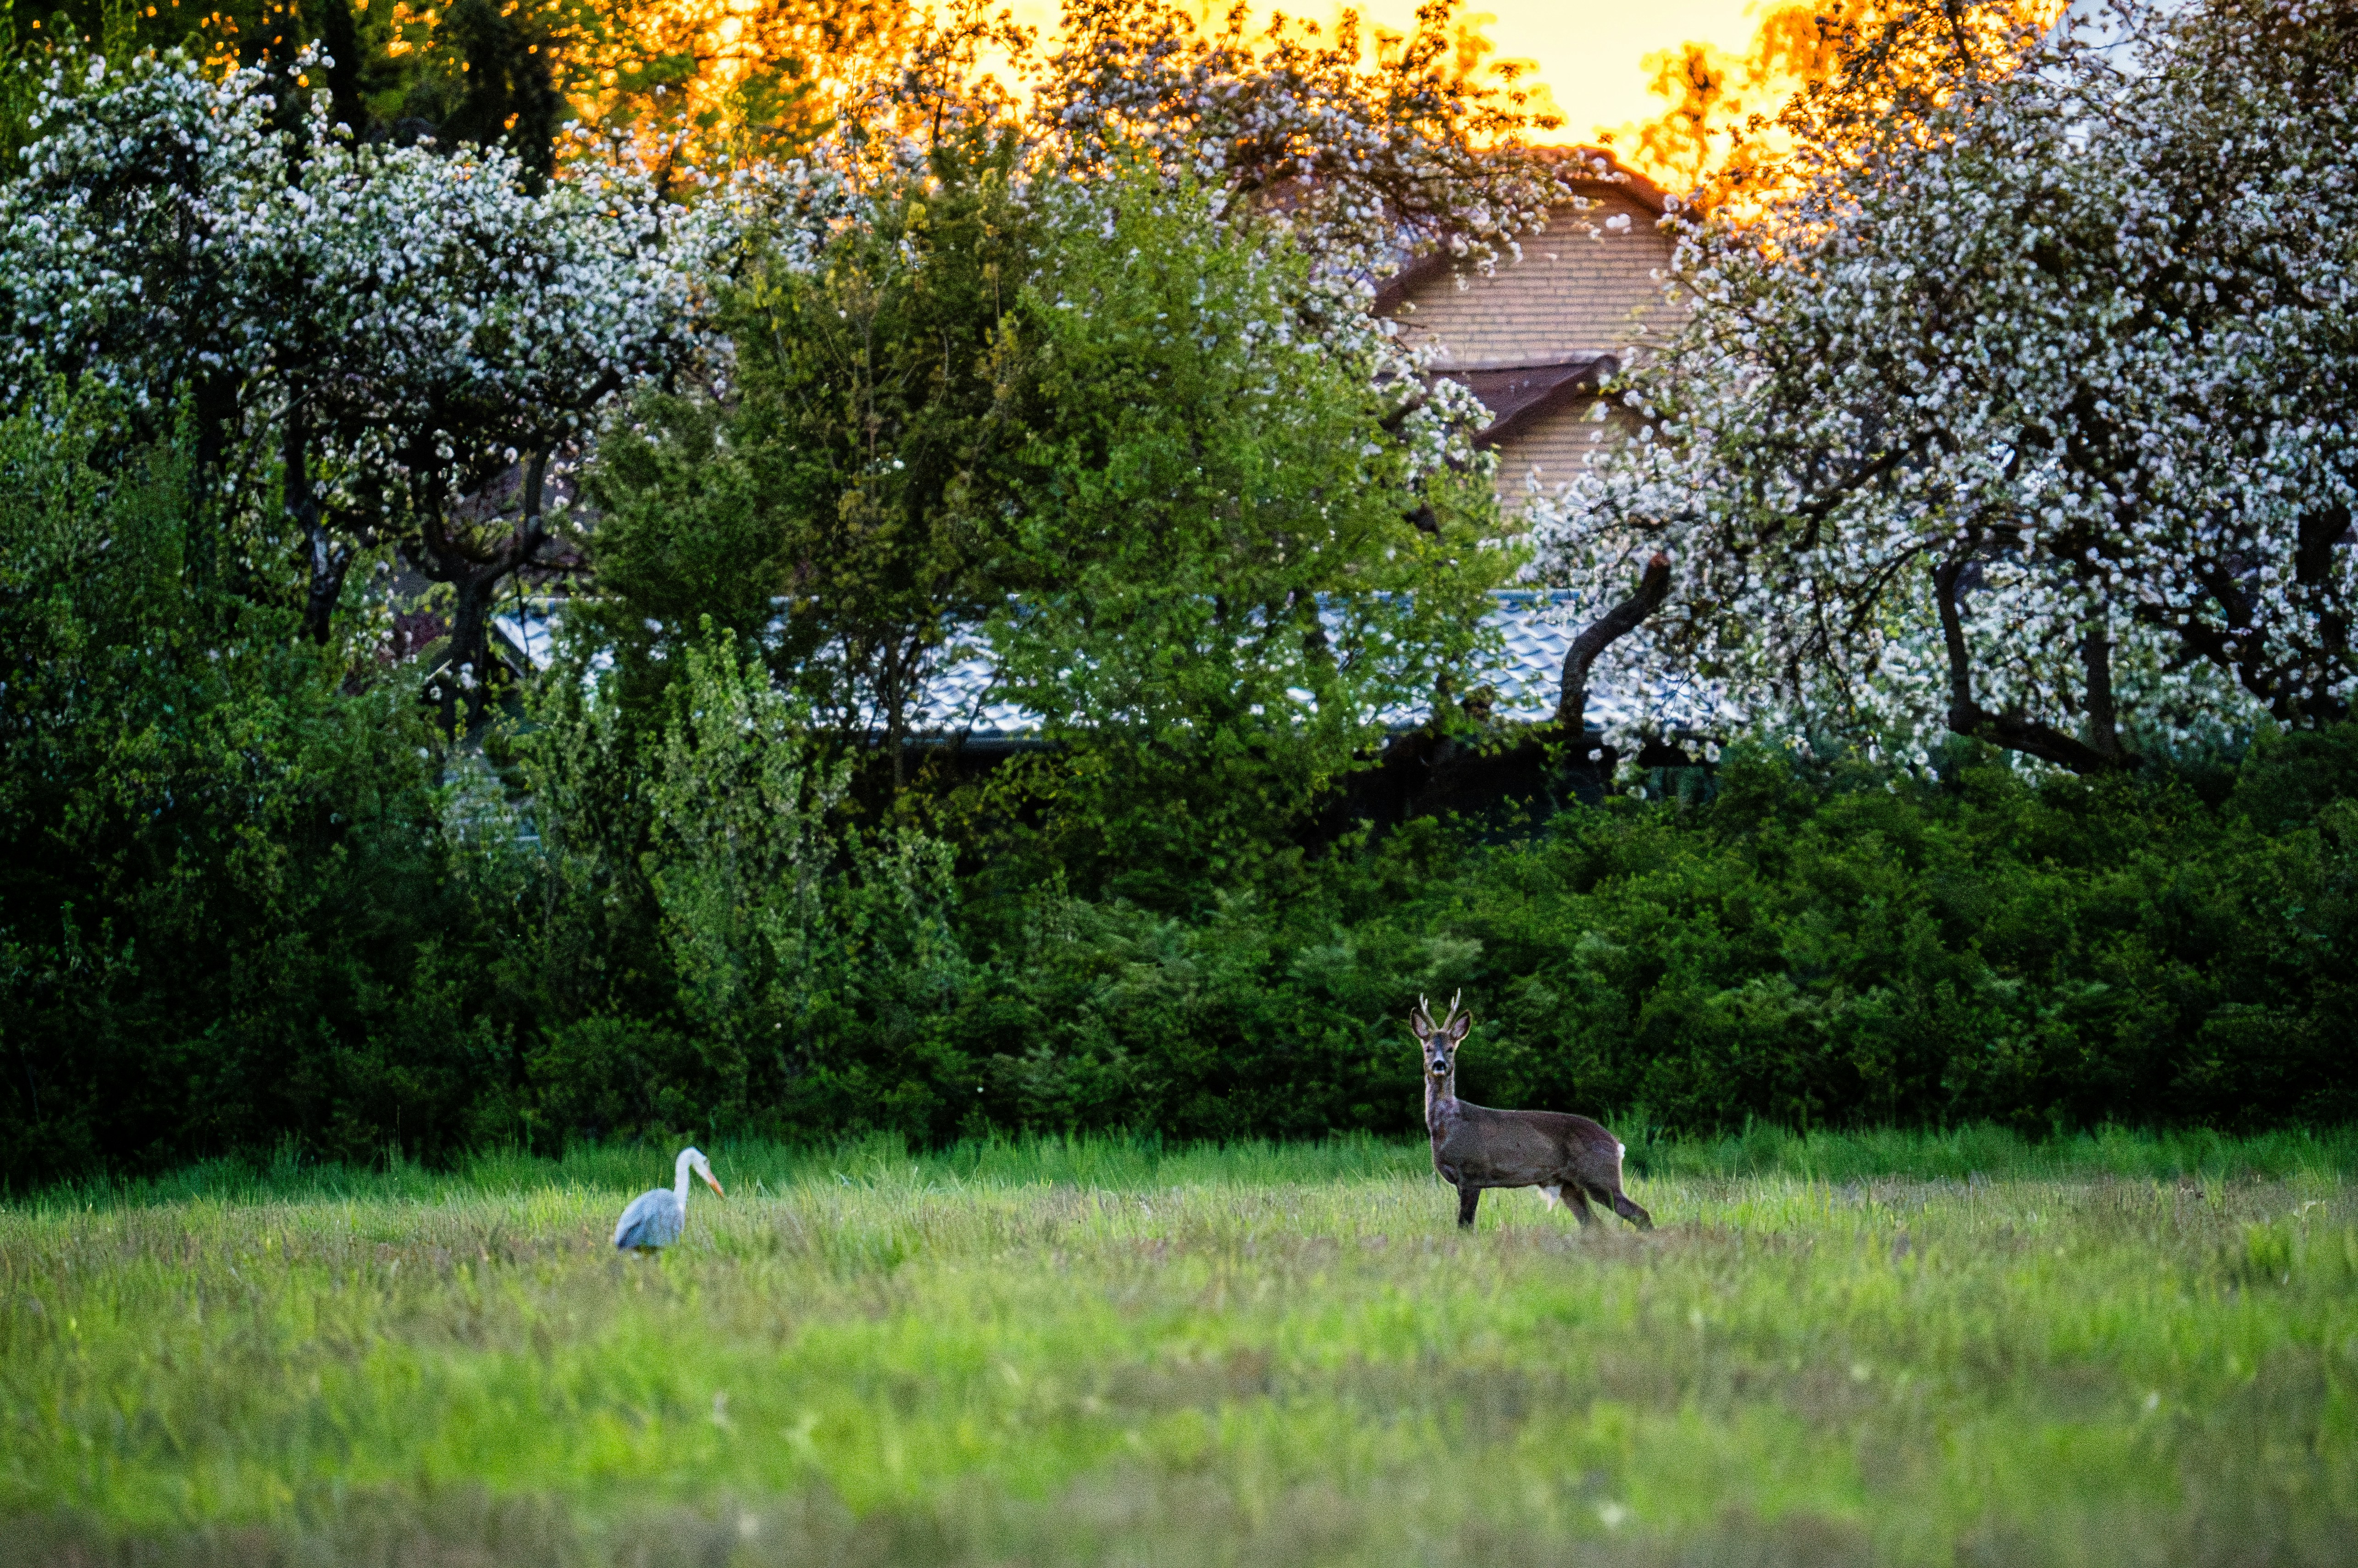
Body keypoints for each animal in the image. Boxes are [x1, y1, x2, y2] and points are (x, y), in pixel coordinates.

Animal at [1411, 992, 1653, 1231]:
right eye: (1428, 1048)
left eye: (1451, 1048)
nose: (1440, 1064)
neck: (1447, 1125)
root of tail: (1617, 1144)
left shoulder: (1471, 1174)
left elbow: (1465, 1227)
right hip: (1570, 1185)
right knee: (1594, 1225)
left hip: (1599, 1176)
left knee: (1640, 1214)